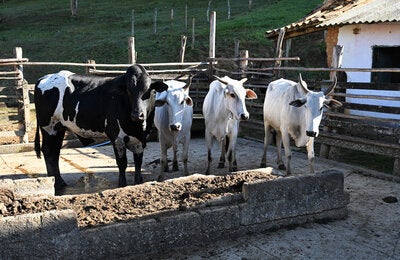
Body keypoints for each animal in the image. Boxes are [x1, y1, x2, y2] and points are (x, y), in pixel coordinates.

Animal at [32, 64, 167, 191]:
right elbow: (122, 163)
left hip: (59, 128)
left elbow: (138, 162)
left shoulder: (140, 139)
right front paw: (122, 184)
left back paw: (59, 181)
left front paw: (138, 182)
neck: (137, 127)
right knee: (48, 151)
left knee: (55, 152)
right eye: (129, 91)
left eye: (148, 91)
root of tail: (44, 78)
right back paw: (55, 182)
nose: (137, 114)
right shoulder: (117, 137)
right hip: (49, 127)